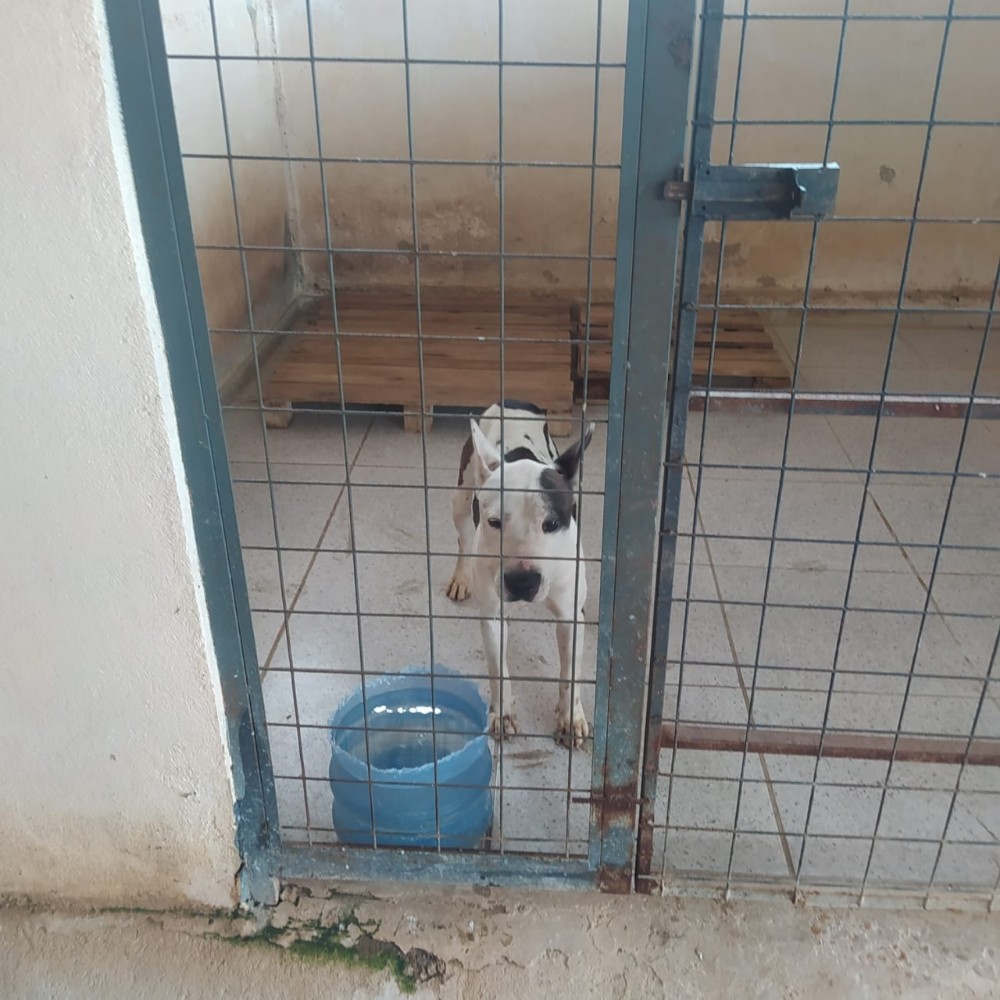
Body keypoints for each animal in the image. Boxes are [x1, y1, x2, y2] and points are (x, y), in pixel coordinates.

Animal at [447, 401, 595, 748]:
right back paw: (461, 577)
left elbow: (570, 673)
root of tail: (511, 401)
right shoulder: (492, 615)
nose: (522, 582)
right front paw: (503, 715)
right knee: (463, 537)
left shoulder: (571, 616)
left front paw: (570, 718)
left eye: (551, 524)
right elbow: (498, 669)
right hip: (462, 496)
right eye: (495, 522)